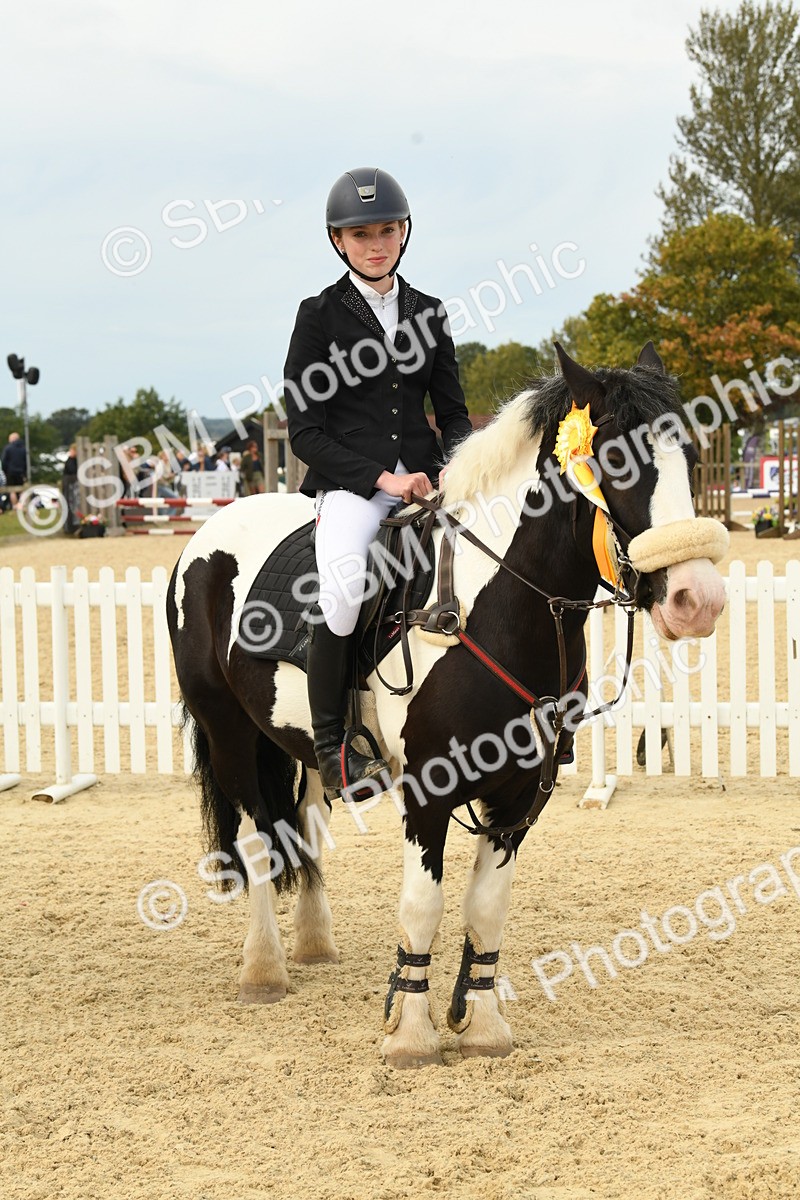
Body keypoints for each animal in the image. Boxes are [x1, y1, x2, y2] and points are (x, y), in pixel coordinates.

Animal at [167, 343, 728, 1068]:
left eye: (688, 454)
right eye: (617, 460)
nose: (698, 599)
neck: (489, 609)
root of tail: (211, 529)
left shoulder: (520, 798)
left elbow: (486, 907)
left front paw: (482, 1023)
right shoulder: (428, 794)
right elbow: (422, 906)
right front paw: (410, 1031)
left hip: (306, 749)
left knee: (304, 823)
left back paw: (314, 944)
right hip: (229, 732)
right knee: (257, 840)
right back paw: (264, 971)